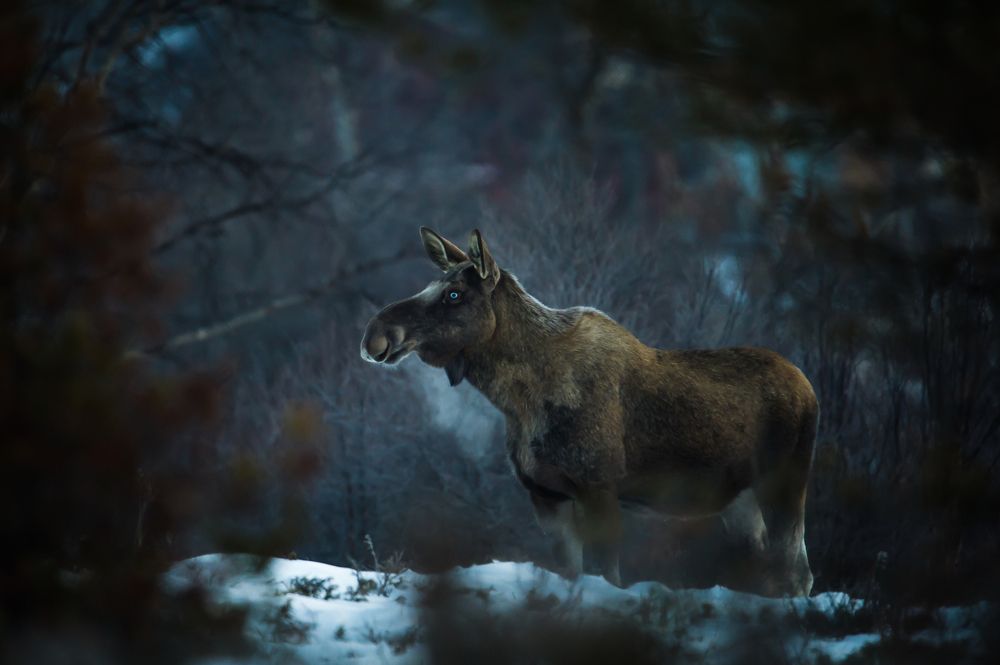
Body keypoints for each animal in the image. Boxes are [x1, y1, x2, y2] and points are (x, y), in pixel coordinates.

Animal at [360, 227, 817, 596]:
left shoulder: (598, 487)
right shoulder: (546, 495)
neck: (515, 400)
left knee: (797, 573)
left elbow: (608, 576)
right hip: (741, 502)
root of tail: (809, 388)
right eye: (432, 285)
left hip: (784, 482)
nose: (375, 333)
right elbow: (571, 573)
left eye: (454, 293)